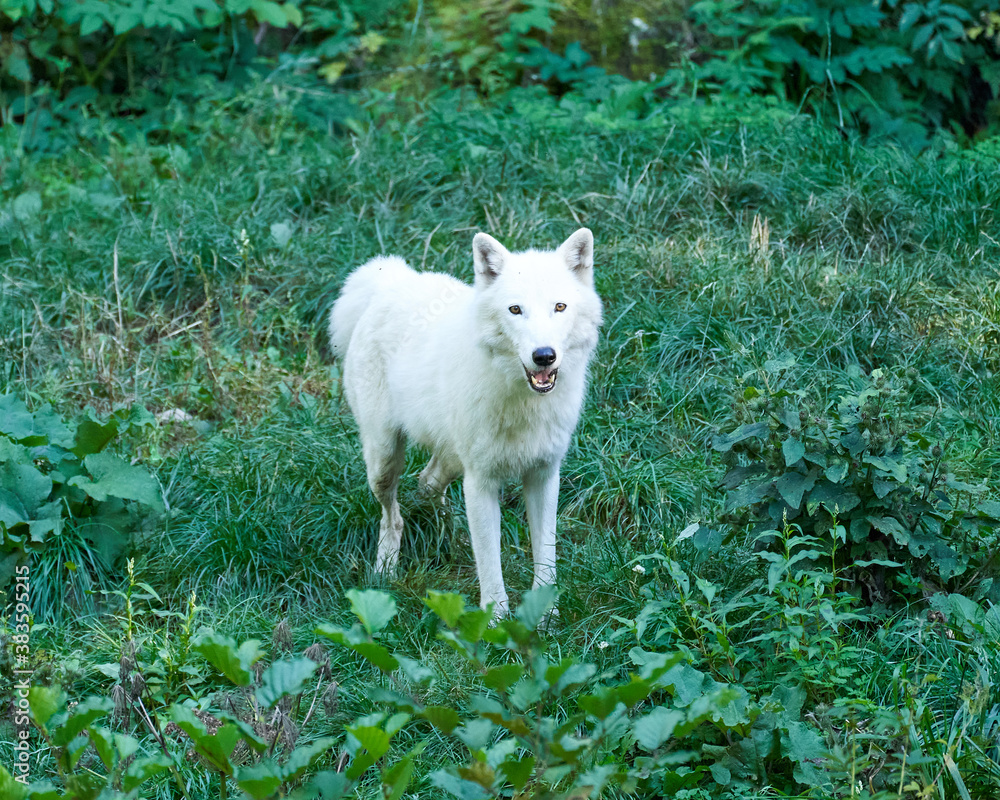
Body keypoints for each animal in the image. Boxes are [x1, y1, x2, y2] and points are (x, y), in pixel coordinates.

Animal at [329, 228, 602, 617]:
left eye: (559, 307)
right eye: (515, 310)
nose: (544, 356)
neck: (523, 402)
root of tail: (391, 279)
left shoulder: (544, 476)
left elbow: (545, 556)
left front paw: (546, 616)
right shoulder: (481, 482)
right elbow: (490, 563)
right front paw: (496, 621)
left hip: (452, 459)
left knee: (427, 482)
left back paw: (453, 539)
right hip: (384, 459)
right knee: (392, 515)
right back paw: (385, 571)